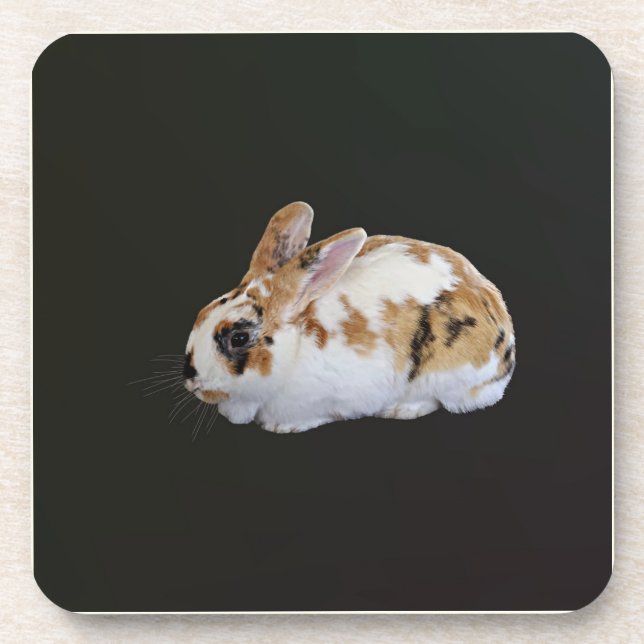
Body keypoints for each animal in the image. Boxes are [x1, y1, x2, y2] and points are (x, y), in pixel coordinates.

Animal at [183, 201, 515, 433]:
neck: (297, 346)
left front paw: (285, 427)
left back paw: (400, 409)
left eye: (238, 338)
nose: (190, 378)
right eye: (201, 313)